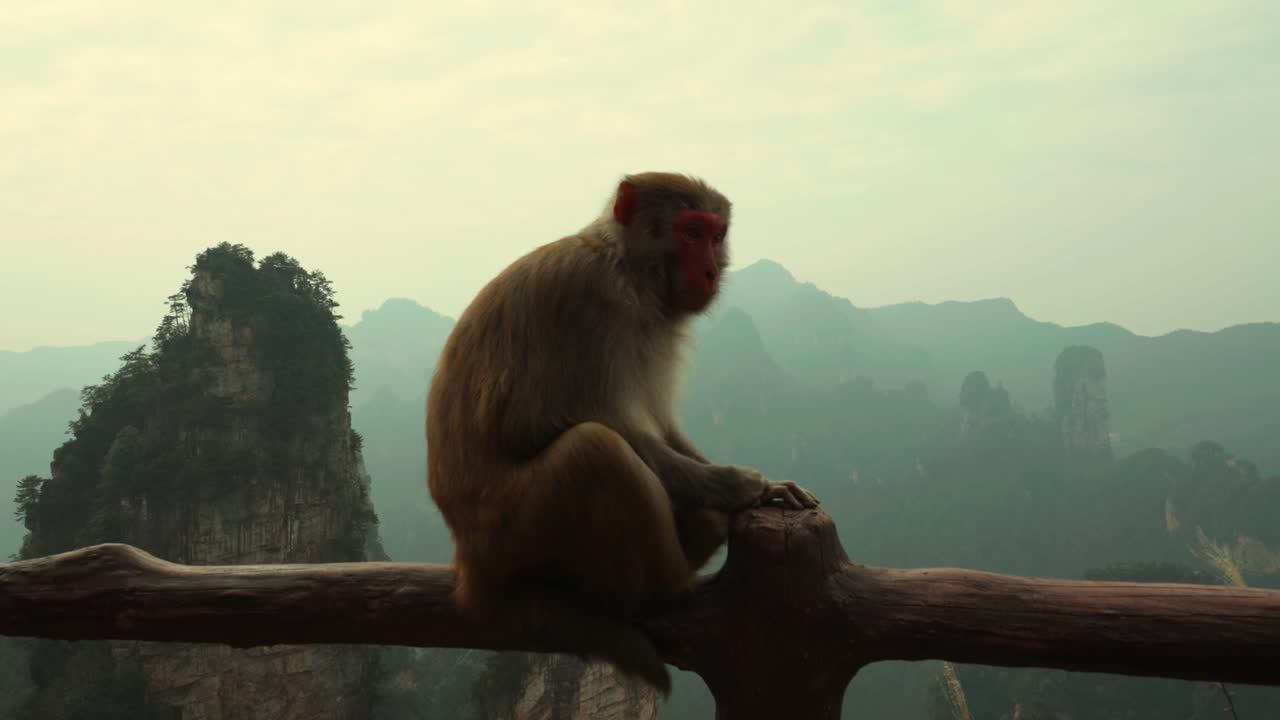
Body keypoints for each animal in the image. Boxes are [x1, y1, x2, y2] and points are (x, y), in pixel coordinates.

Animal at [425, 171, 819, 695]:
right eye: (691, 232)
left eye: (716, 235)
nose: (710, 271)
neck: (630, 268)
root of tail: (468, 562)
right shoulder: (592, 302)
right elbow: (556, 424)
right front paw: (743, 487)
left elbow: (660, 425)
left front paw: (758, 485)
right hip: (510, 529)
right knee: (593, 450)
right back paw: (663, 591)